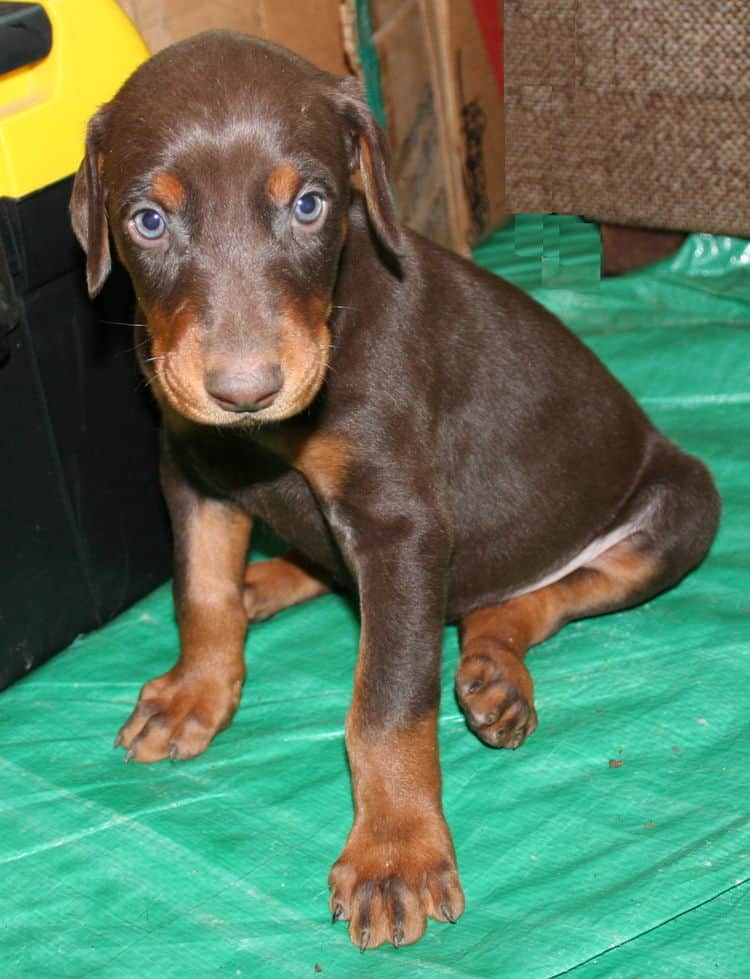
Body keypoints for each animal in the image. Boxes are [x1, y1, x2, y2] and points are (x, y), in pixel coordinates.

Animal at [70, 28, 724, 948]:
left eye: (311, 205)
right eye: (148, 221)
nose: (244, 390)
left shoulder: (399, 526)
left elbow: (385, 703)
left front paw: (395, 854)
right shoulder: (194, 468)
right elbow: (198, 593)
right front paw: (196, 690)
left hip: (684, 504)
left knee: (534, 598)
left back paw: (494, 671)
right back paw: (272, 586)